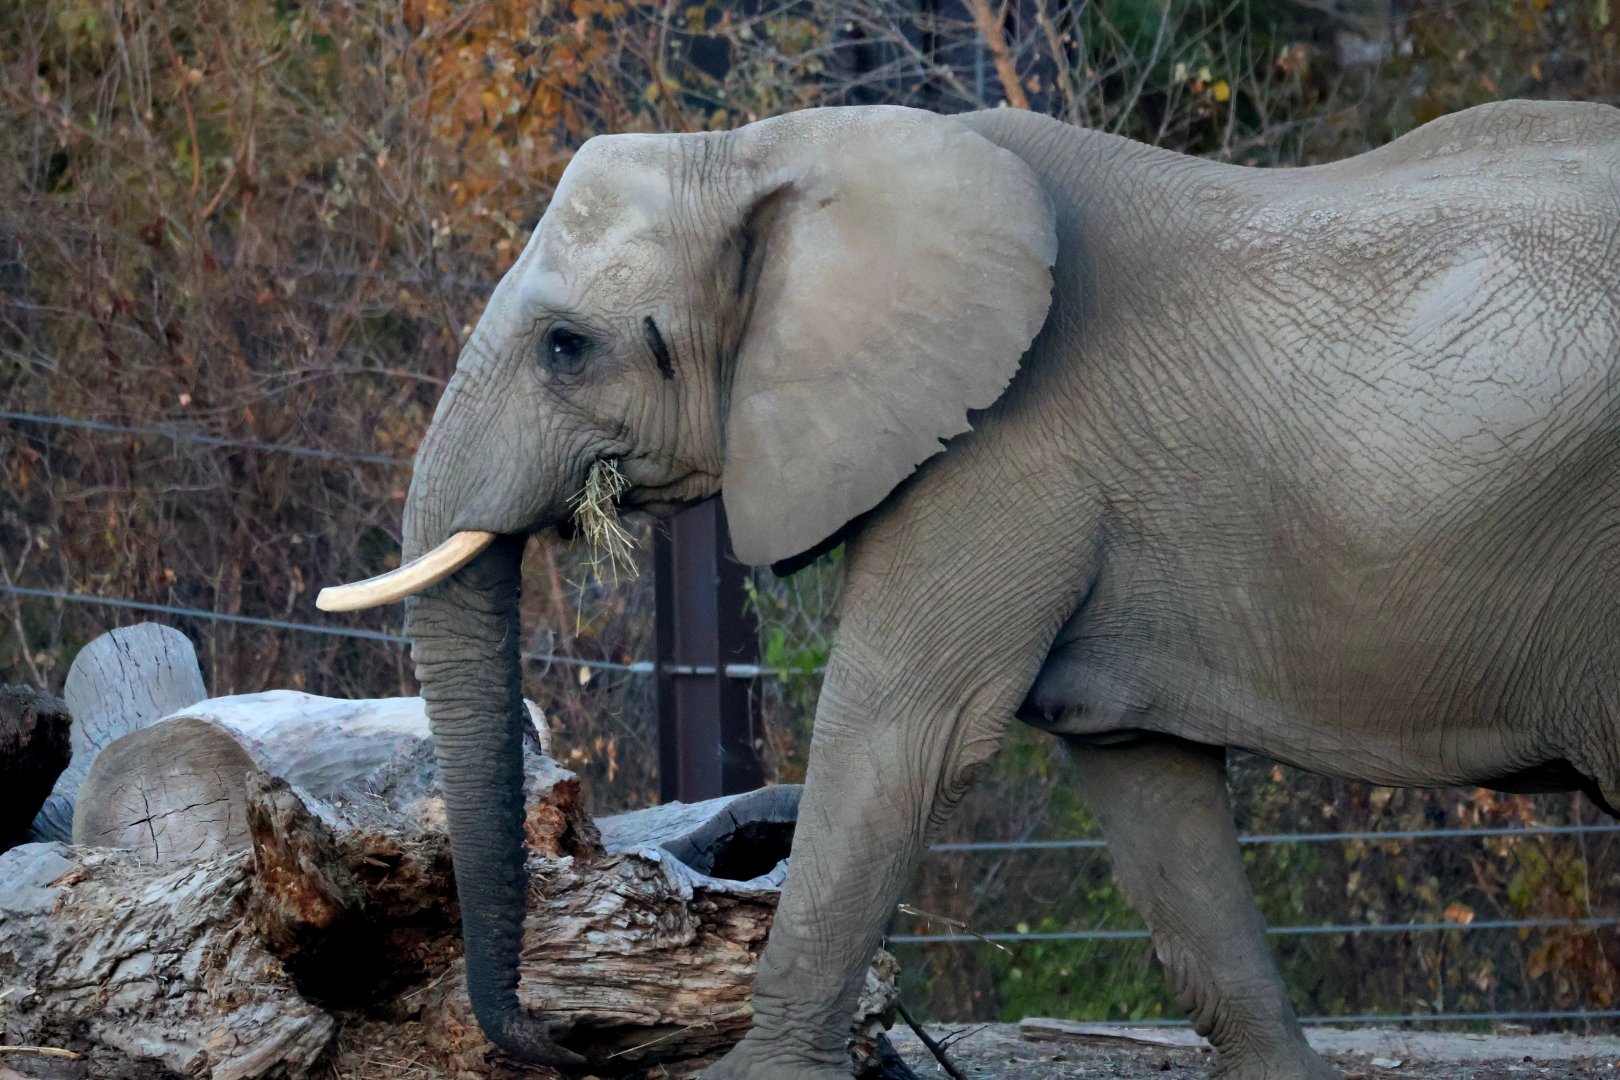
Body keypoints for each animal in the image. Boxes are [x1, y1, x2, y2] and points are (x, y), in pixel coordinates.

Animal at [317, 99, 1620, 1078]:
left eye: (565, 349)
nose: (563, 1043)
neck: (769, 149)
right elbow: (1151, 800)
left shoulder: (1000, 452)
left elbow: (897, 736)